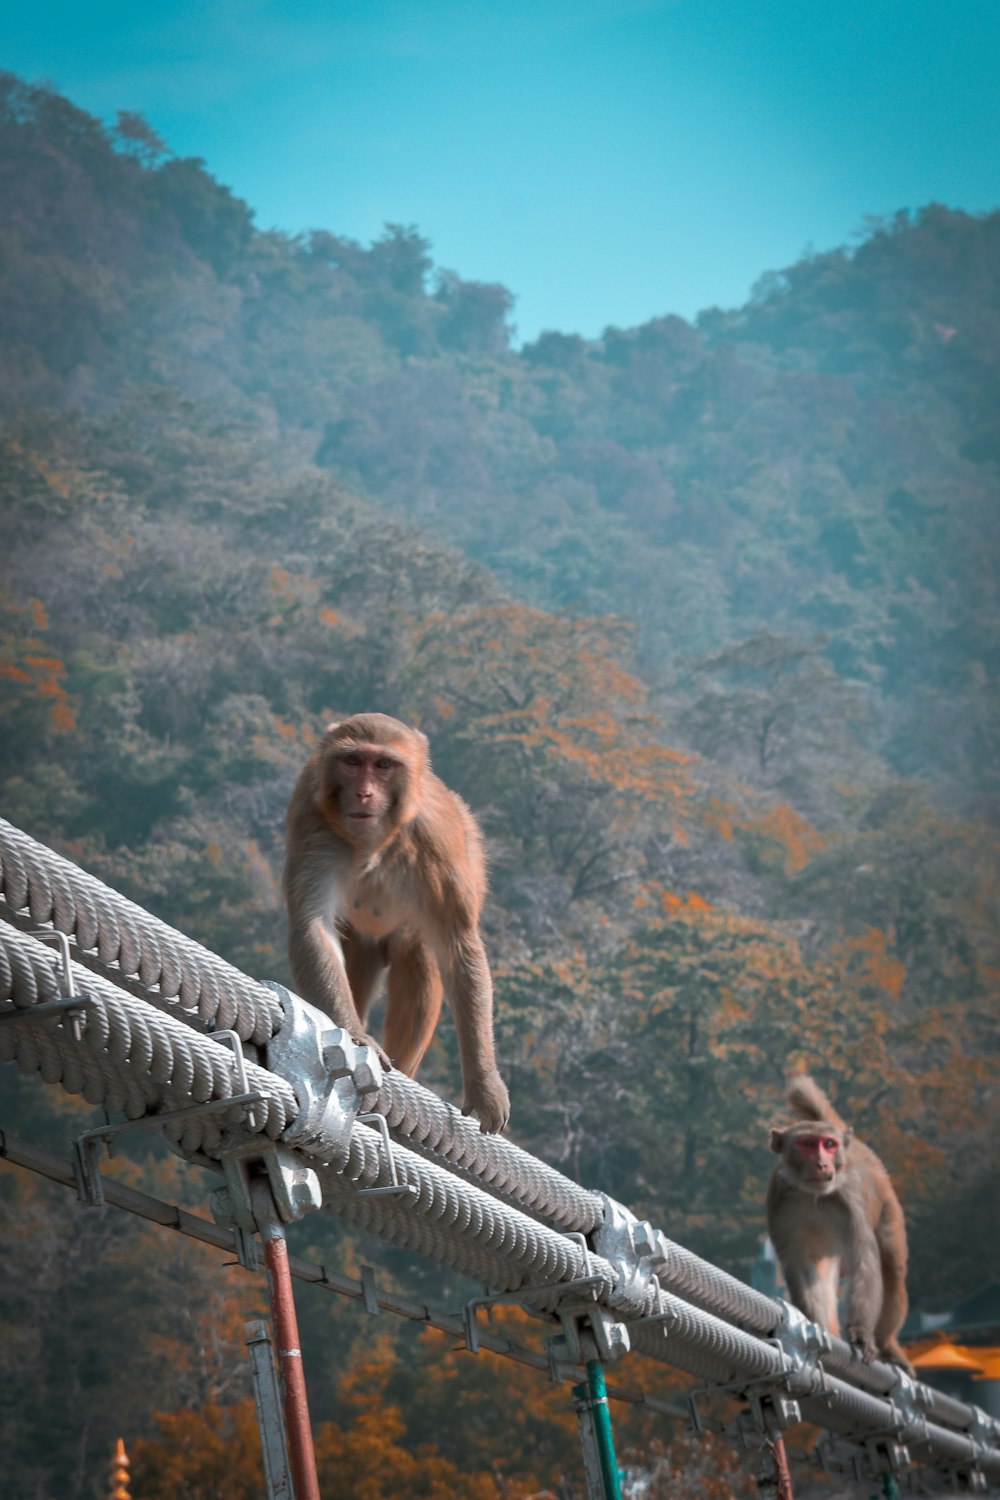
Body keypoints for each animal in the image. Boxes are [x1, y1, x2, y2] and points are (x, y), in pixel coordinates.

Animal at [284, 708, 512, 1128]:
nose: (363, 793)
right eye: (353, 761)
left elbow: (458, 946)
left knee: (419, 954)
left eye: (383, 765)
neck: (374, 840)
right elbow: (314, 924)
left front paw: (485, 1083)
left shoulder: (437, 842)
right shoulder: (312, 819)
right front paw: (356, 1036)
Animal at [767, 1080, 917, 1374]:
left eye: (828, 1145)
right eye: (807, 1144)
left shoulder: (850, 1201)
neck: (812, 1195)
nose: (822, 1163)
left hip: (888, 1203)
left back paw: (887, 1344)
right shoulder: (779, 1202)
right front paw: (816, 1326)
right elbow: (799, 1266)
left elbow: (865, 1262)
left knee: (892, 1267)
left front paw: (860, 1335)